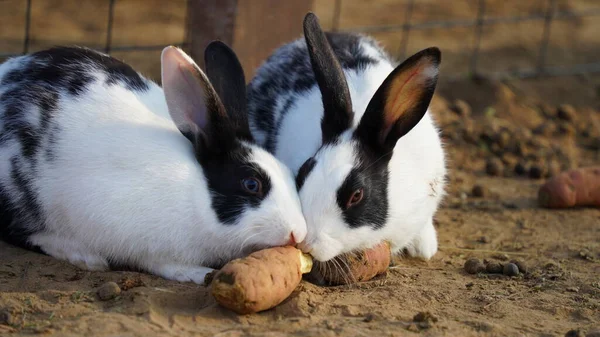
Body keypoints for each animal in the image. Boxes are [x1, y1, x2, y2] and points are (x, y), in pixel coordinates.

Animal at [0, 40, 308, 284]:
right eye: (251, 184)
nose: (298, 233)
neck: (194, 194)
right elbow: (162, 263)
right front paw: (197, 273)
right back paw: (82, 255)